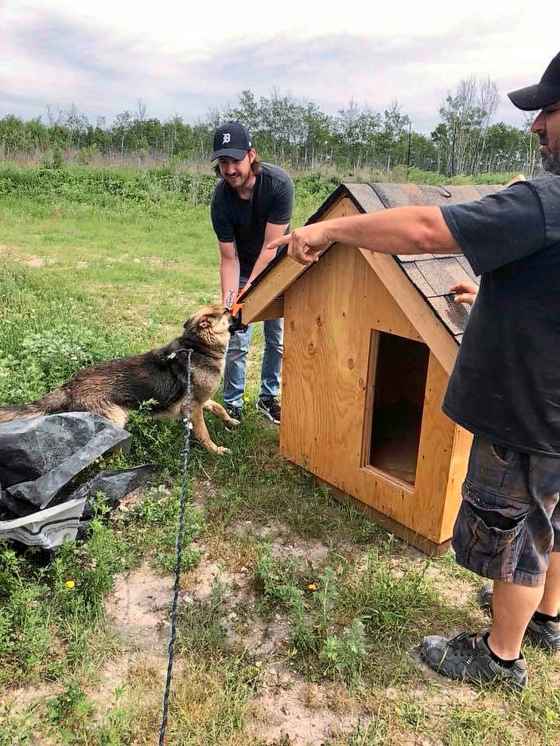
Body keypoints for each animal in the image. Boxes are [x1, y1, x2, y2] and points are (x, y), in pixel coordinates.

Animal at [0, 302, 238, 454]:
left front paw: (230, 421)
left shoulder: (201, 400)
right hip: (115, 419)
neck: (197, 347)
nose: (237, 310)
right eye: (227, 311)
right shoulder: (194, 407)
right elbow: (204, 433)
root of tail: (70, 385)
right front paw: (216, 450)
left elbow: (218, 407)